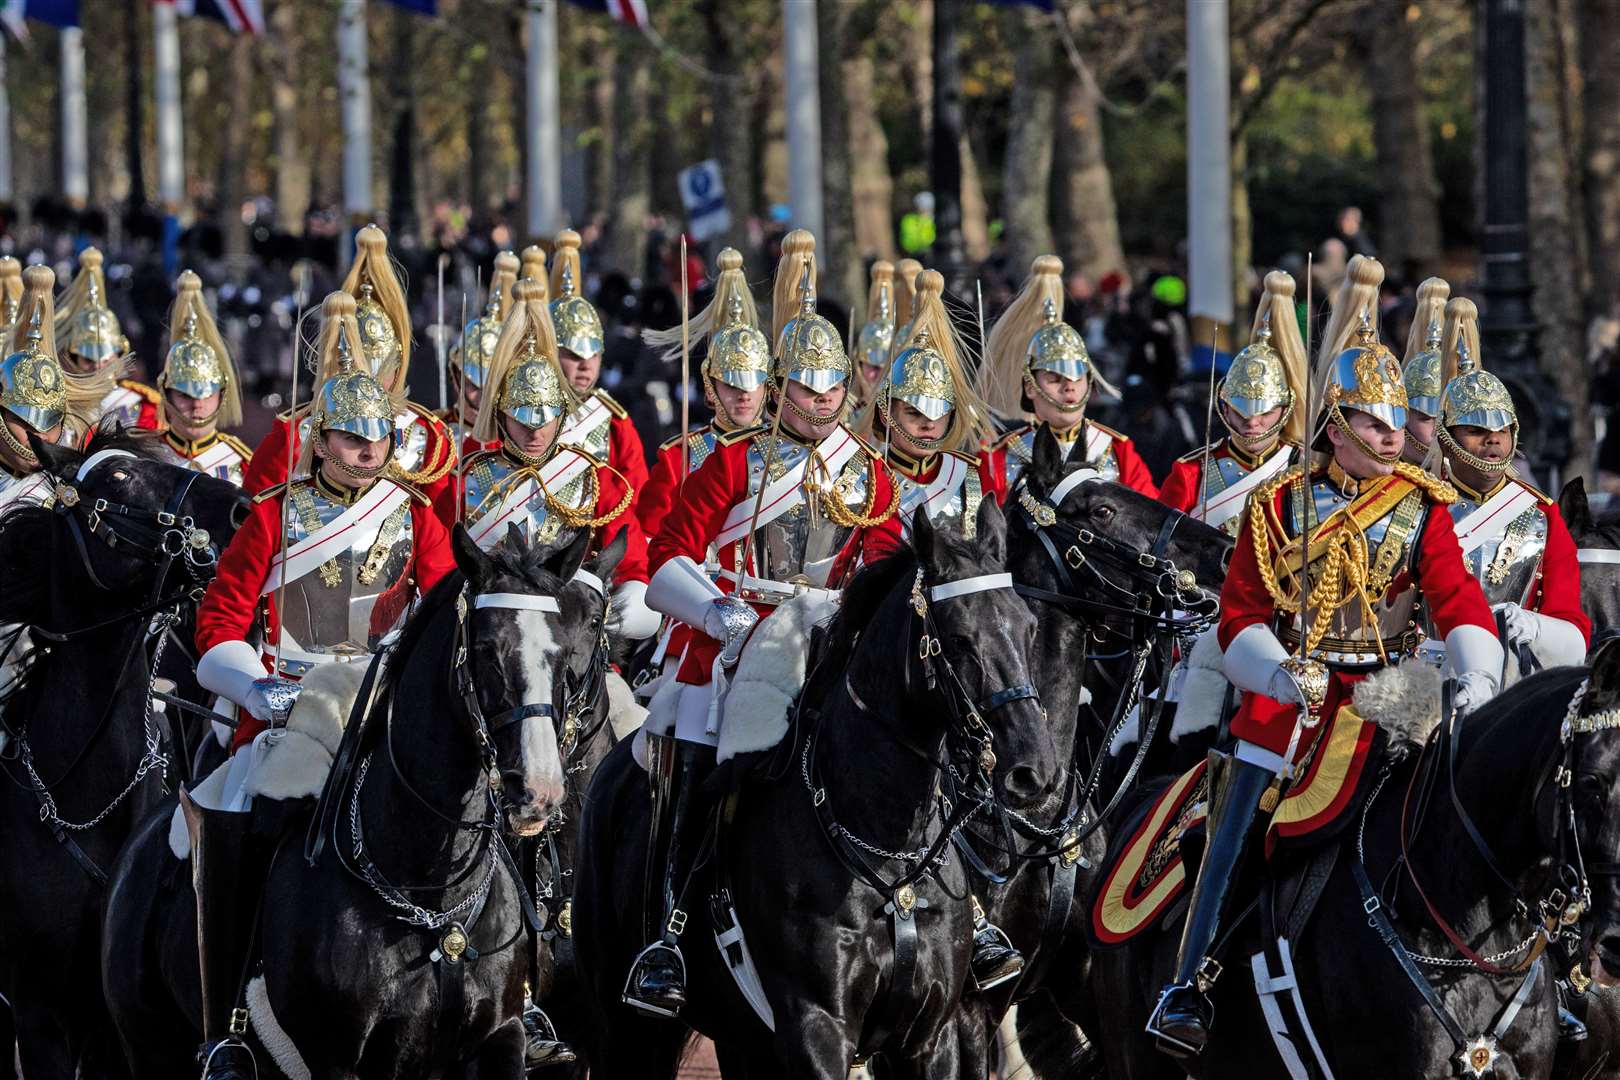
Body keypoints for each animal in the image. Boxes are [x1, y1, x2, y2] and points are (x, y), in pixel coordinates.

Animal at [102, 527, 618, 1080]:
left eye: (566, 647)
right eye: (484, 648)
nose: (539, 789)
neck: (433, 902)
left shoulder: (500, 1038)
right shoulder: (337, 1061)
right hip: (149, 1047)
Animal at [576, 501, 1056, 1080]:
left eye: (1030, 627)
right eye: (959, 638)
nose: (1033, 770)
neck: (888, 859)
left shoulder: (930, 1037)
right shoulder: (817, 1030)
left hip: (742, 1040)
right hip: (629, 1027)